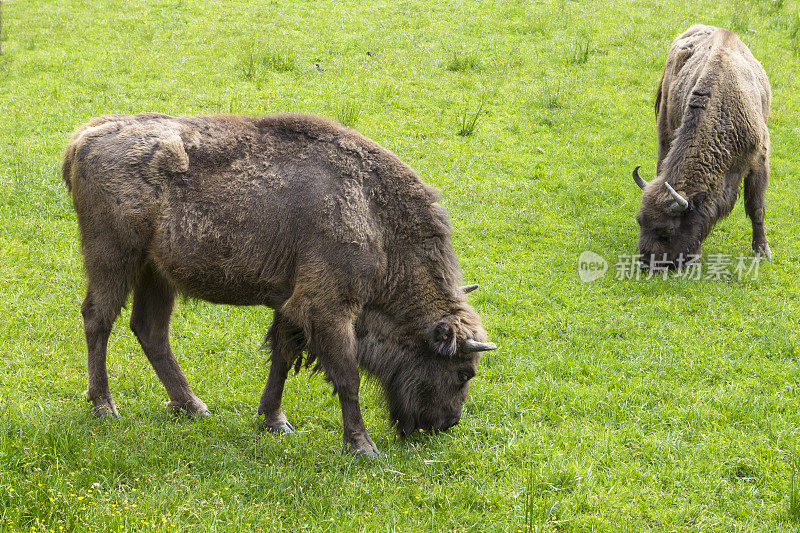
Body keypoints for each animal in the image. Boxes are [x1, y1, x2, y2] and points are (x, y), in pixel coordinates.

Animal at [62, 110, 496, 456]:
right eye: (464, 372)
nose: (446, 424)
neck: (374, 214)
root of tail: (87, 135)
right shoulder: (329, 308)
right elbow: (347, 375)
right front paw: (362, 446)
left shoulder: (294, 305)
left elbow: (283, 357)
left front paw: (275, 420)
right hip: (114, 260)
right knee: (98, 320)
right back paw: (104, 406)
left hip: (157, 274)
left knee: (150, 331)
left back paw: (193, 406)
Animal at [636, 24, 772, 266]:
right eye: (639, 221)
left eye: (667, 231)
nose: (645, 263)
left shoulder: (759, 161)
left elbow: (756, 207)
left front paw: (762, 250)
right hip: (665, 127)